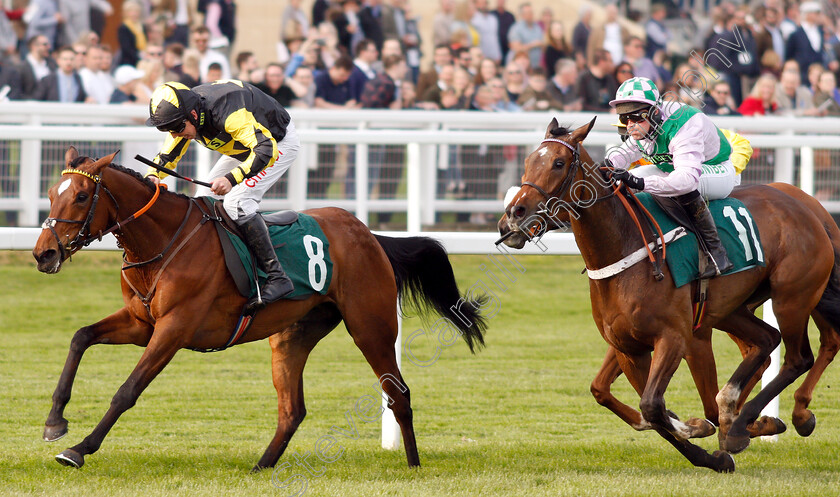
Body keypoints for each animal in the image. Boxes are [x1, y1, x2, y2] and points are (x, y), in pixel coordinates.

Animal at [32, 146, 488, 468]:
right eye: (52, 194)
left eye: (82, 196)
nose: (43, 254)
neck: (163, 242)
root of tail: (370, 234)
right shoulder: (141, 323)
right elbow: (80, 338)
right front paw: (55, 421)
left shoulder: (174, 329)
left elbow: (127, 390)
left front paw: (79, 449)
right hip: (292, 336)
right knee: (293, 410)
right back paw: (262, 466)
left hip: (370, 326)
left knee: (398, 394)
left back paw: (413, 465)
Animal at [496, 118, 840, 470]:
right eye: (528, 161)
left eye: (558, 163)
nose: (513, 216)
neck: (627, 246)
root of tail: (809, 209)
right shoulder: (628, 347)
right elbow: (635, 405)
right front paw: (711, 452)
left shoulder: (678, 338)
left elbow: (657, 406)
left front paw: (705, 429)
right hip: (734, 311)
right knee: (767, 341)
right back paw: (755, 417)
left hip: (792, 298)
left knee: (800, 356)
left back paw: (754, 423)